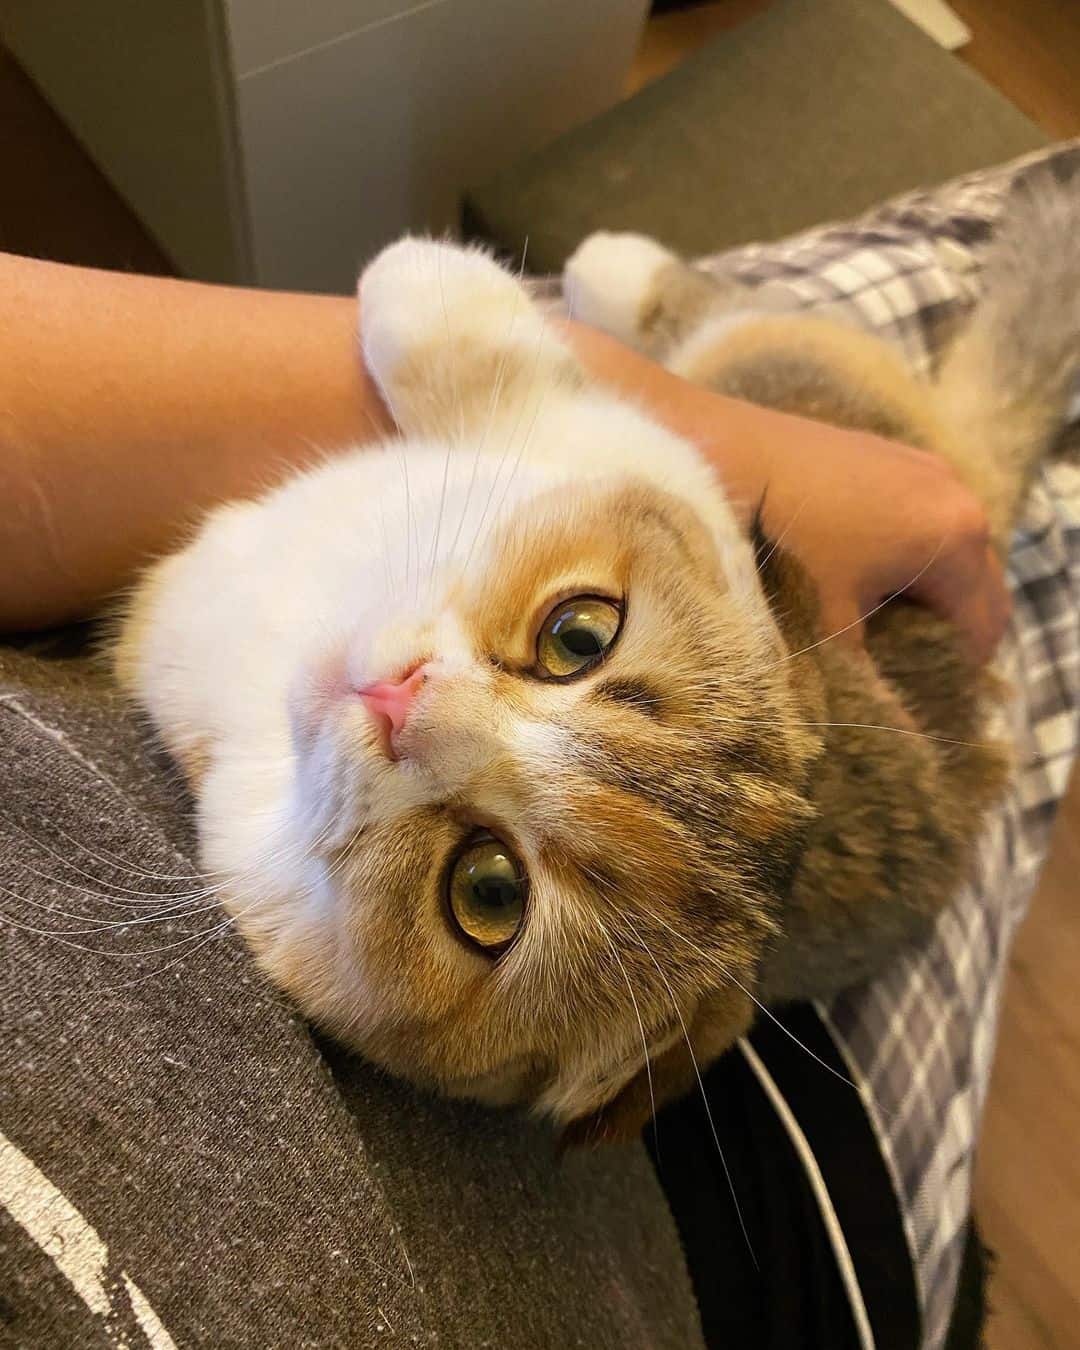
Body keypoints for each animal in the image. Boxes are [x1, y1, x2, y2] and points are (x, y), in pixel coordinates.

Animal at [114, 182, 1074, 1139]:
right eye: (578, 637)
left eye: (489, 893)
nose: (399, 697)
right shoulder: (632, 447)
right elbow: (498, 372)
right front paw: (424, 278)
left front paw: (420, 274)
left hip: (764, 353)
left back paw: (611, 266)